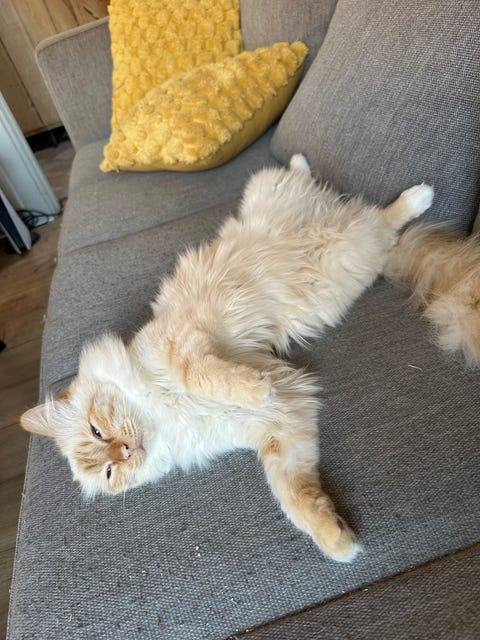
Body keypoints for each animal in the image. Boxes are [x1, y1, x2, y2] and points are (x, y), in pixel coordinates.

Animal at [20, 154, 433, 562]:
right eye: (109, 472)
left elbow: (205, 376)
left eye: (97, 430)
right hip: (339, 257)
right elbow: (293, 495)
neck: (164, 415)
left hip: (335, 242)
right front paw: (337, 541)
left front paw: (257, 388)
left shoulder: (187, 344)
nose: (124, 451)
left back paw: (419, 195)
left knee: (380, 216)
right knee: (358, 210)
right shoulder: (280, 428)